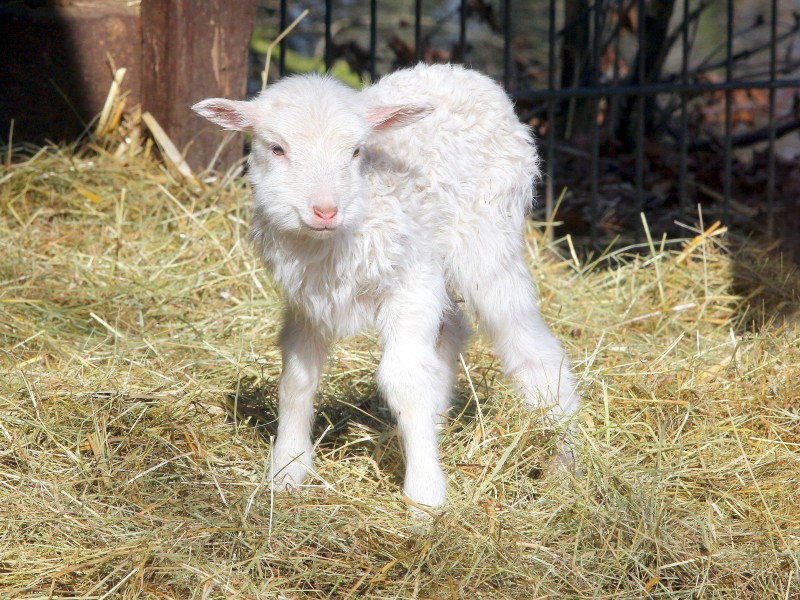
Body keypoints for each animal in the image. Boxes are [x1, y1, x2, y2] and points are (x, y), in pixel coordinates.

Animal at [194, 64, 580, 506]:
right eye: (277, 149)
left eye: (356, 151)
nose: (325, 211)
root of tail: (468, 74)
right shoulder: (307, 299)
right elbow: (296, 377)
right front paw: (287, 469)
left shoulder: (409, 286)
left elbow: (405, 381)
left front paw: (425, 496)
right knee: (452, 332)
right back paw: (438, 426)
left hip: (488, 236)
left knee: (529, 341)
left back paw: (564, 458)